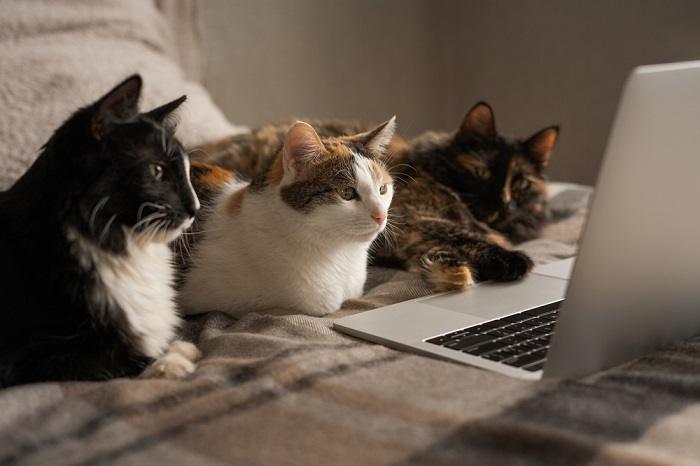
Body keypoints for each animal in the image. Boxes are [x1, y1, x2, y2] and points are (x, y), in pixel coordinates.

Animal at [0, 73, 202, 386]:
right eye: (157, 171)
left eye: (189, 172)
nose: (196, 208)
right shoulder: (28, 356)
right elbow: (115, 358)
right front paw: (170, 362)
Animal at [190, 103, 556, 292]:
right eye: (481, 173)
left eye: (521, 183)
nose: (503, 203)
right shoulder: (409, 220)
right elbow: (459, 232)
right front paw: (511, 259)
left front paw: (446, 268)